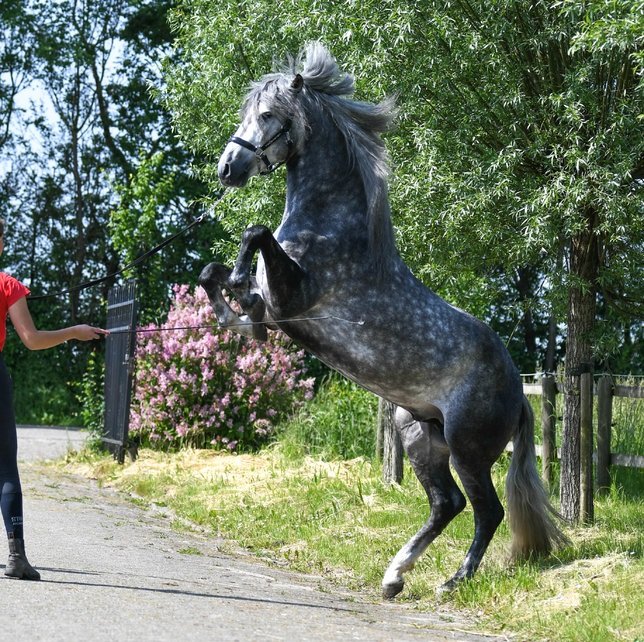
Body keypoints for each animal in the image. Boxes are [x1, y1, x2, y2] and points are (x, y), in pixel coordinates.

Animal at [198, 42, 568, 597]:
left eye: (267, 116)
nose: (227, 169)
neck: (332, 226)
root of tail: (518, 394)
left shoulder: (291, 300)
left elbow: (253, 232)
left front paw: (240, 278)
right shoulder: (271, 313)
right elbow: (212, 276)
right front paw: (233, 295)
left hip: (468, 449)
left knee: (488, 511)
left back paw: (453, 581)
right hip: (419, 435)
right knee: (447, 505)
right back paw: (395, 575)